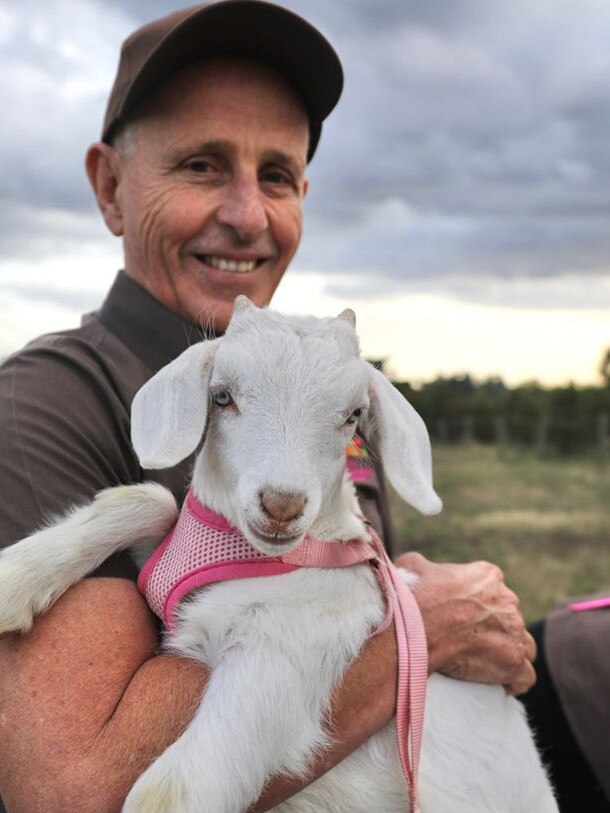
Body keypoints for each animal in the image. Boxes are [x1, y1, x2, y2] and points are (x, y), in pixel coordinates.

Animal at [0, 300, 556, 812]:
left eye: (353, 415)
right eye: (222, 396)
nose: (282, 505)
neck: (273, 558)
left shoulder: (287, 652)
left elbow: (169, 793)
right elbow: (150, 501)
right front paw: (14, 581)